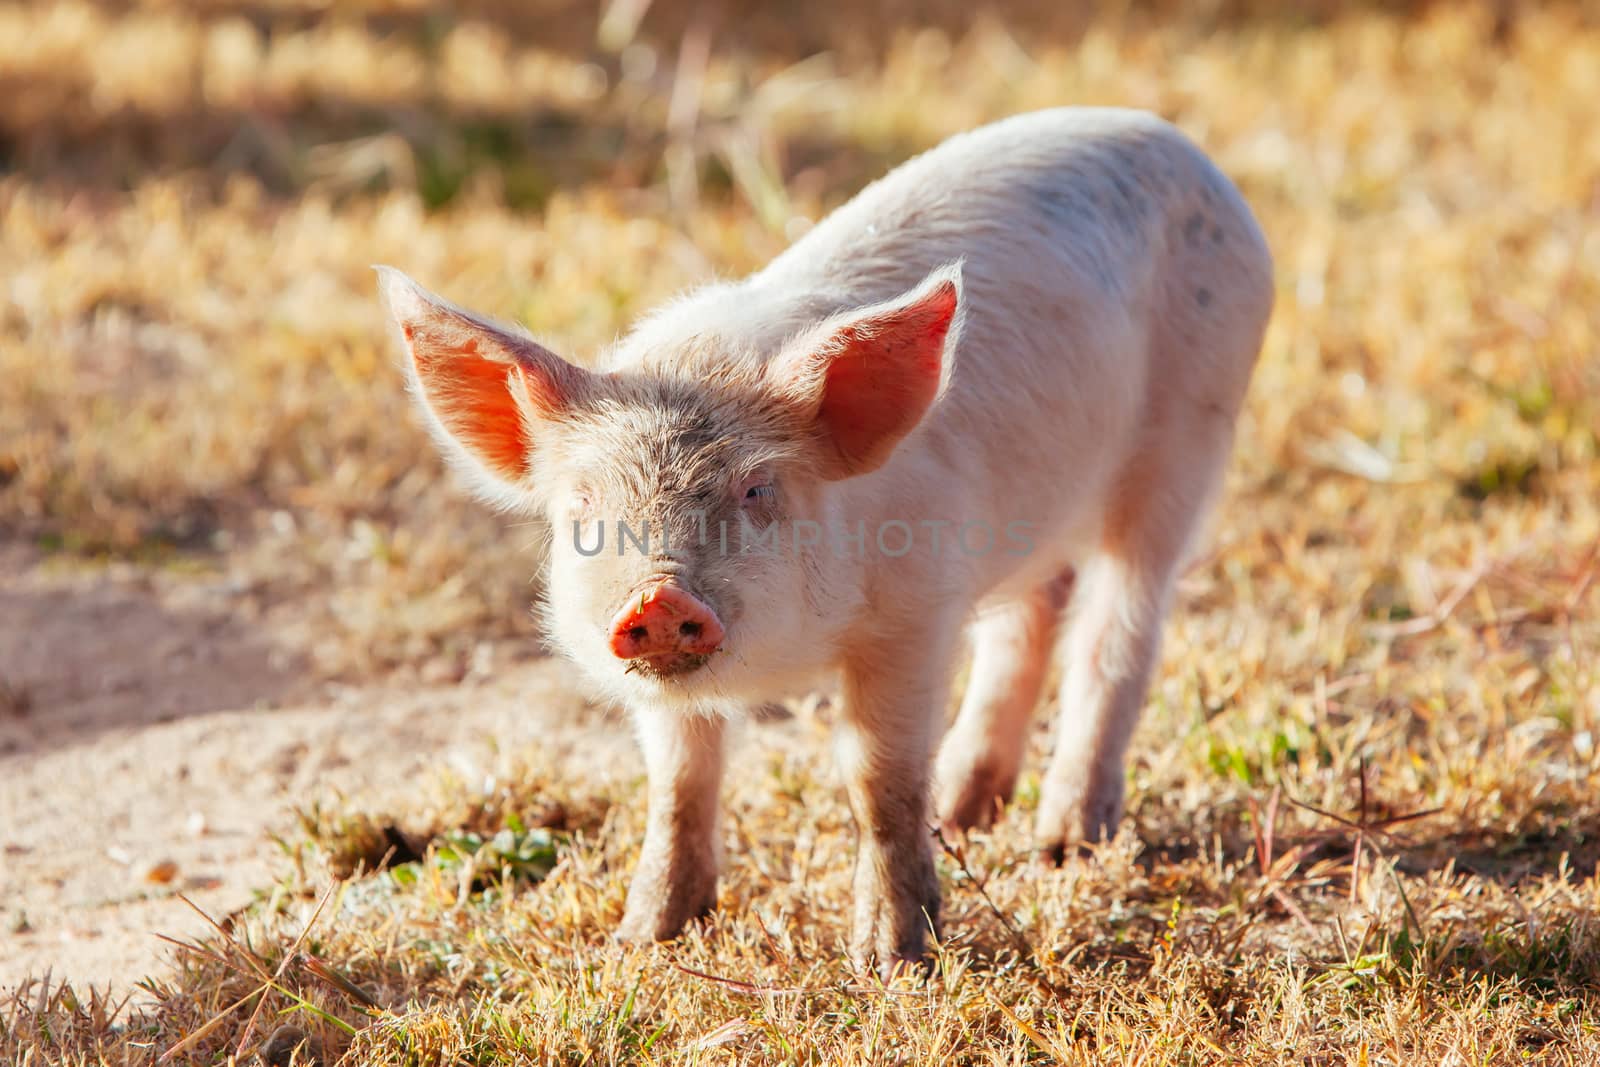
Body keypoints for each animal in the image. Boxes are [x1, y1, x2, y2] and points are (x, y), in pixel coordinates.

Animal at [377, 110, 1273, 979]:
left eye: (756, 490)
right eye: (586, 503)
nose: (658, 596)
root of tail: (1185, 148)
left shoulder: (915, 615)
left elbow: (879, 779)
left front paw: (893, 963)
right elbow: (677, 781)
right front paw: (642, 941)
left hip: (1190, 434)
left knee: (1120, 626)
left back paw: (1064, 843)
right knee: (1034, 611)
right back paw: (967, 812)